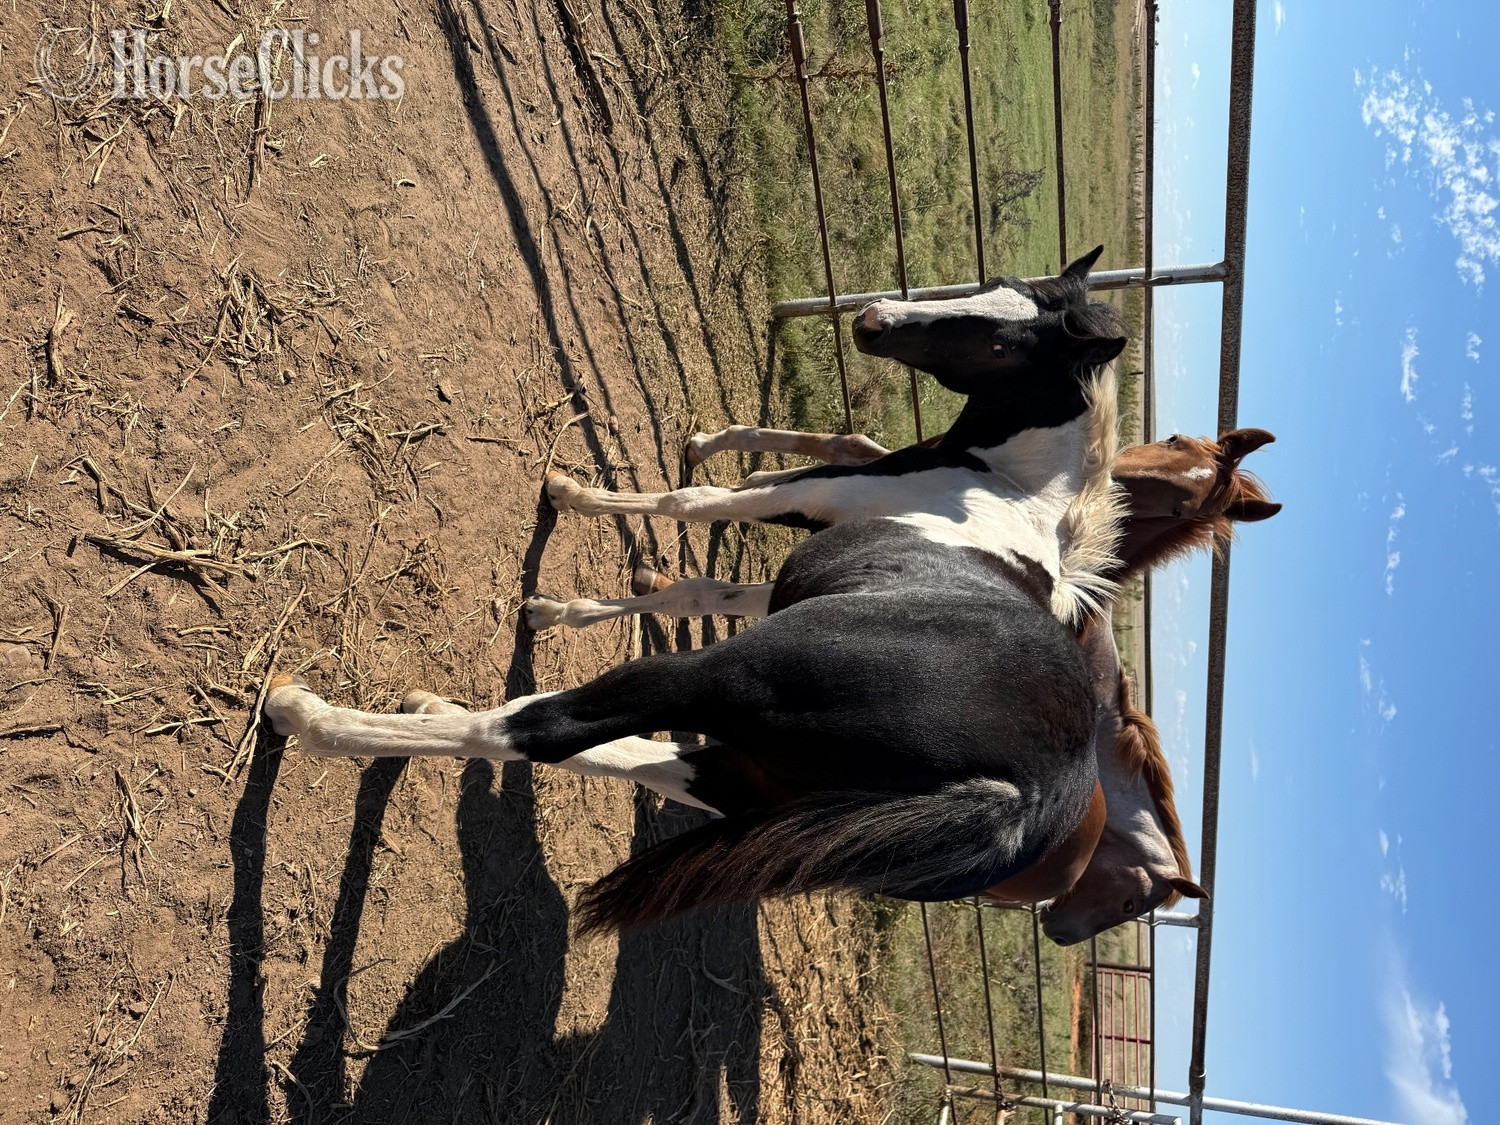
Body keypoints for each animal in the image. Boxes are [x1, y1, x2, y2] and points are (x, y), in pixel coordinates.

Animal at [264, 249, 1128, 932]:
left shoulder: (809, 494)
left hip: (727, 680)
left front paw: (569, 495)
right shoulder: (790, 570)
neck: (1006, 488)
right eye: (995, 284)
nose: (874, 320)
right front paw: (559, 605)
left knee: (546, 728)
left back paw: (312, 715)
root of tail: (1026, 793)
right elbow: (699, 590)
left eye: (1000, 339)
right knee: (621, 751)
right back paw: (427, 705)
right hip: (752, 783)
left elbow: (693, 500)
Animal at [525, 426, 1281, 940]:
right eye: (1176, 441)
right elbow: (706, 571)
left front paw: (568, 566)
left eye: (1129, 905)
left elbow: (700, 546)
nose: (1061, 929)